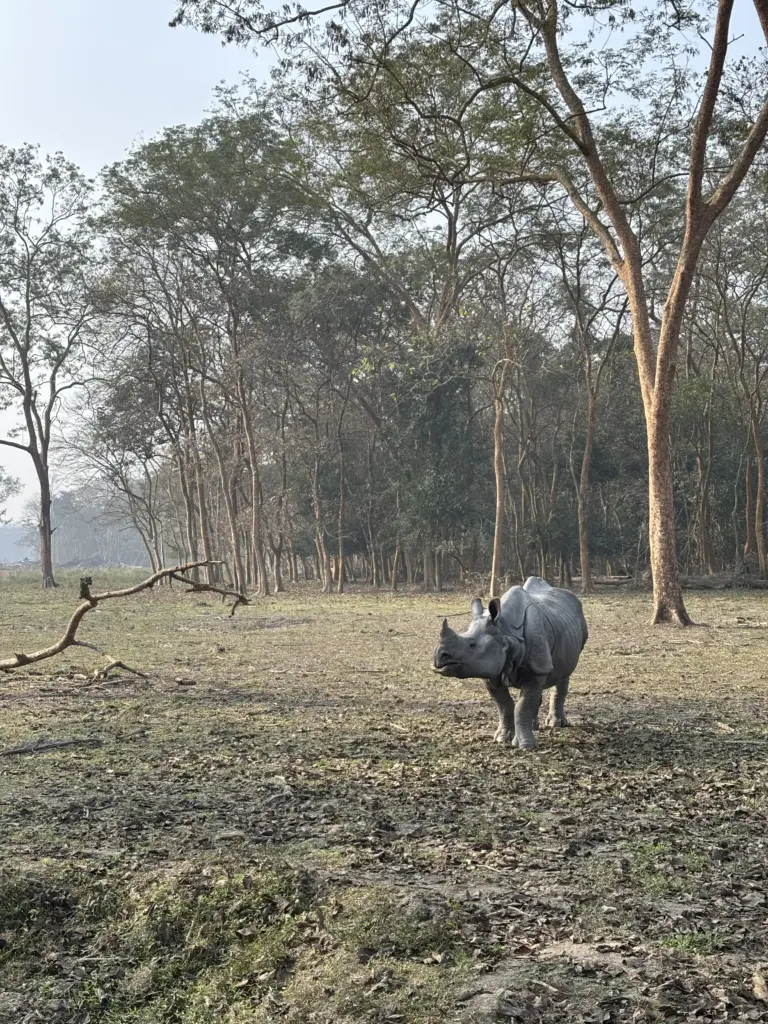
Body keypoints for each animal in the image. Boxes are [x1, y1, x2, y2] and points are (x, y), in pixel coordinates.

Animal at [432, 576, 588, 749]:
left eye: (472, 645)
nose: (439, 657)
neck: (506, 633)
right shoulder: (490, 670)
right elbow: (505, 705)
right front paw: (502, 738)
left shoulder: (537, 667)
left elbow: (523, 705)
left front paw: (525, 745)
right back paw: (534, 726)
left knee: (564, 674)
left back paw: (555, 724)